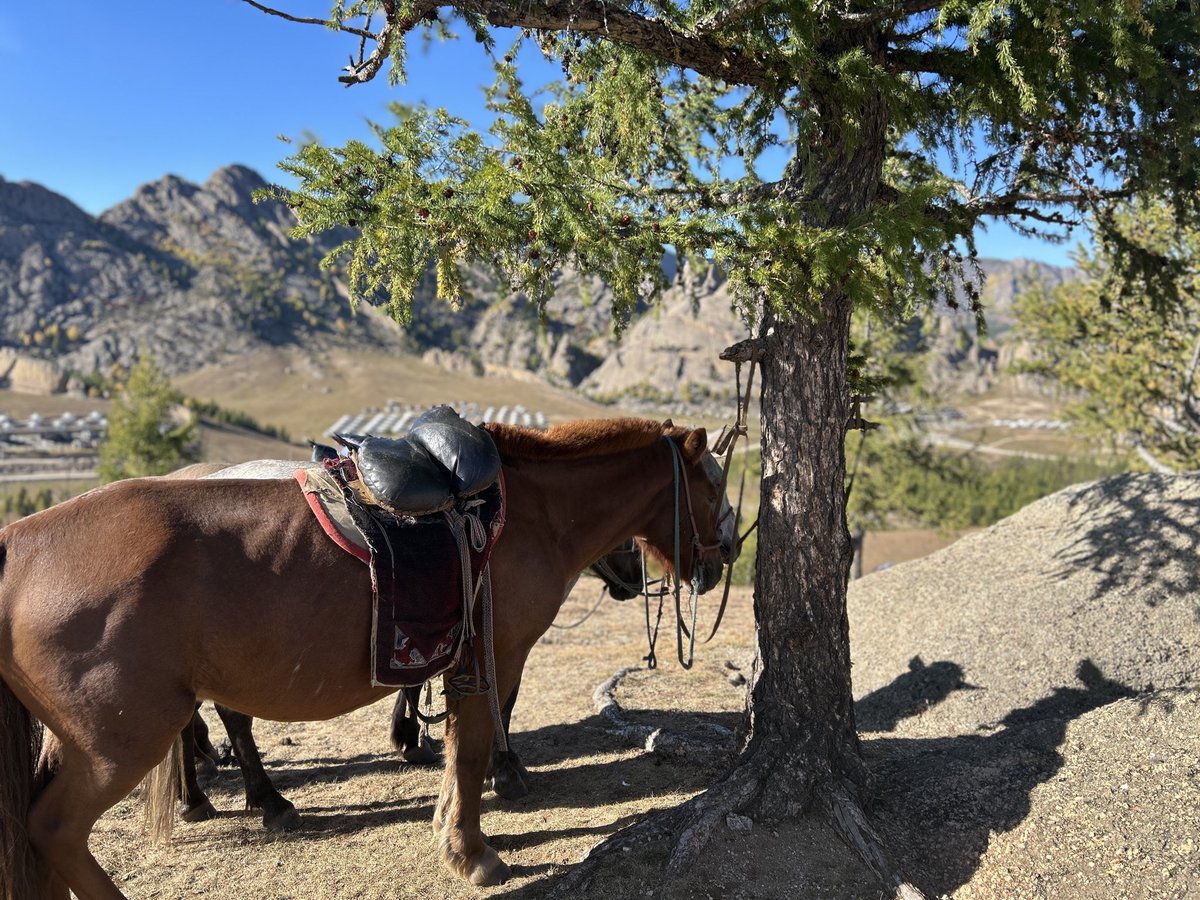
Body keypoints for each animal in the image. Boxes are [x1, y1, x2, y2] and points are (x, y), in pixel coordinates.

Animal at [0, 417, 732, 895]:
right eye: (714, 487)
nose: (722, 558)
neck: (532, 512)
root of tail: (19, 544)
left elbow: (455, 749)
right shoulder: (491, 655)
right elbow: (474, 747)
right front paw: (473, 848)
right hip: (117, 744)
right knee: (57, 829)